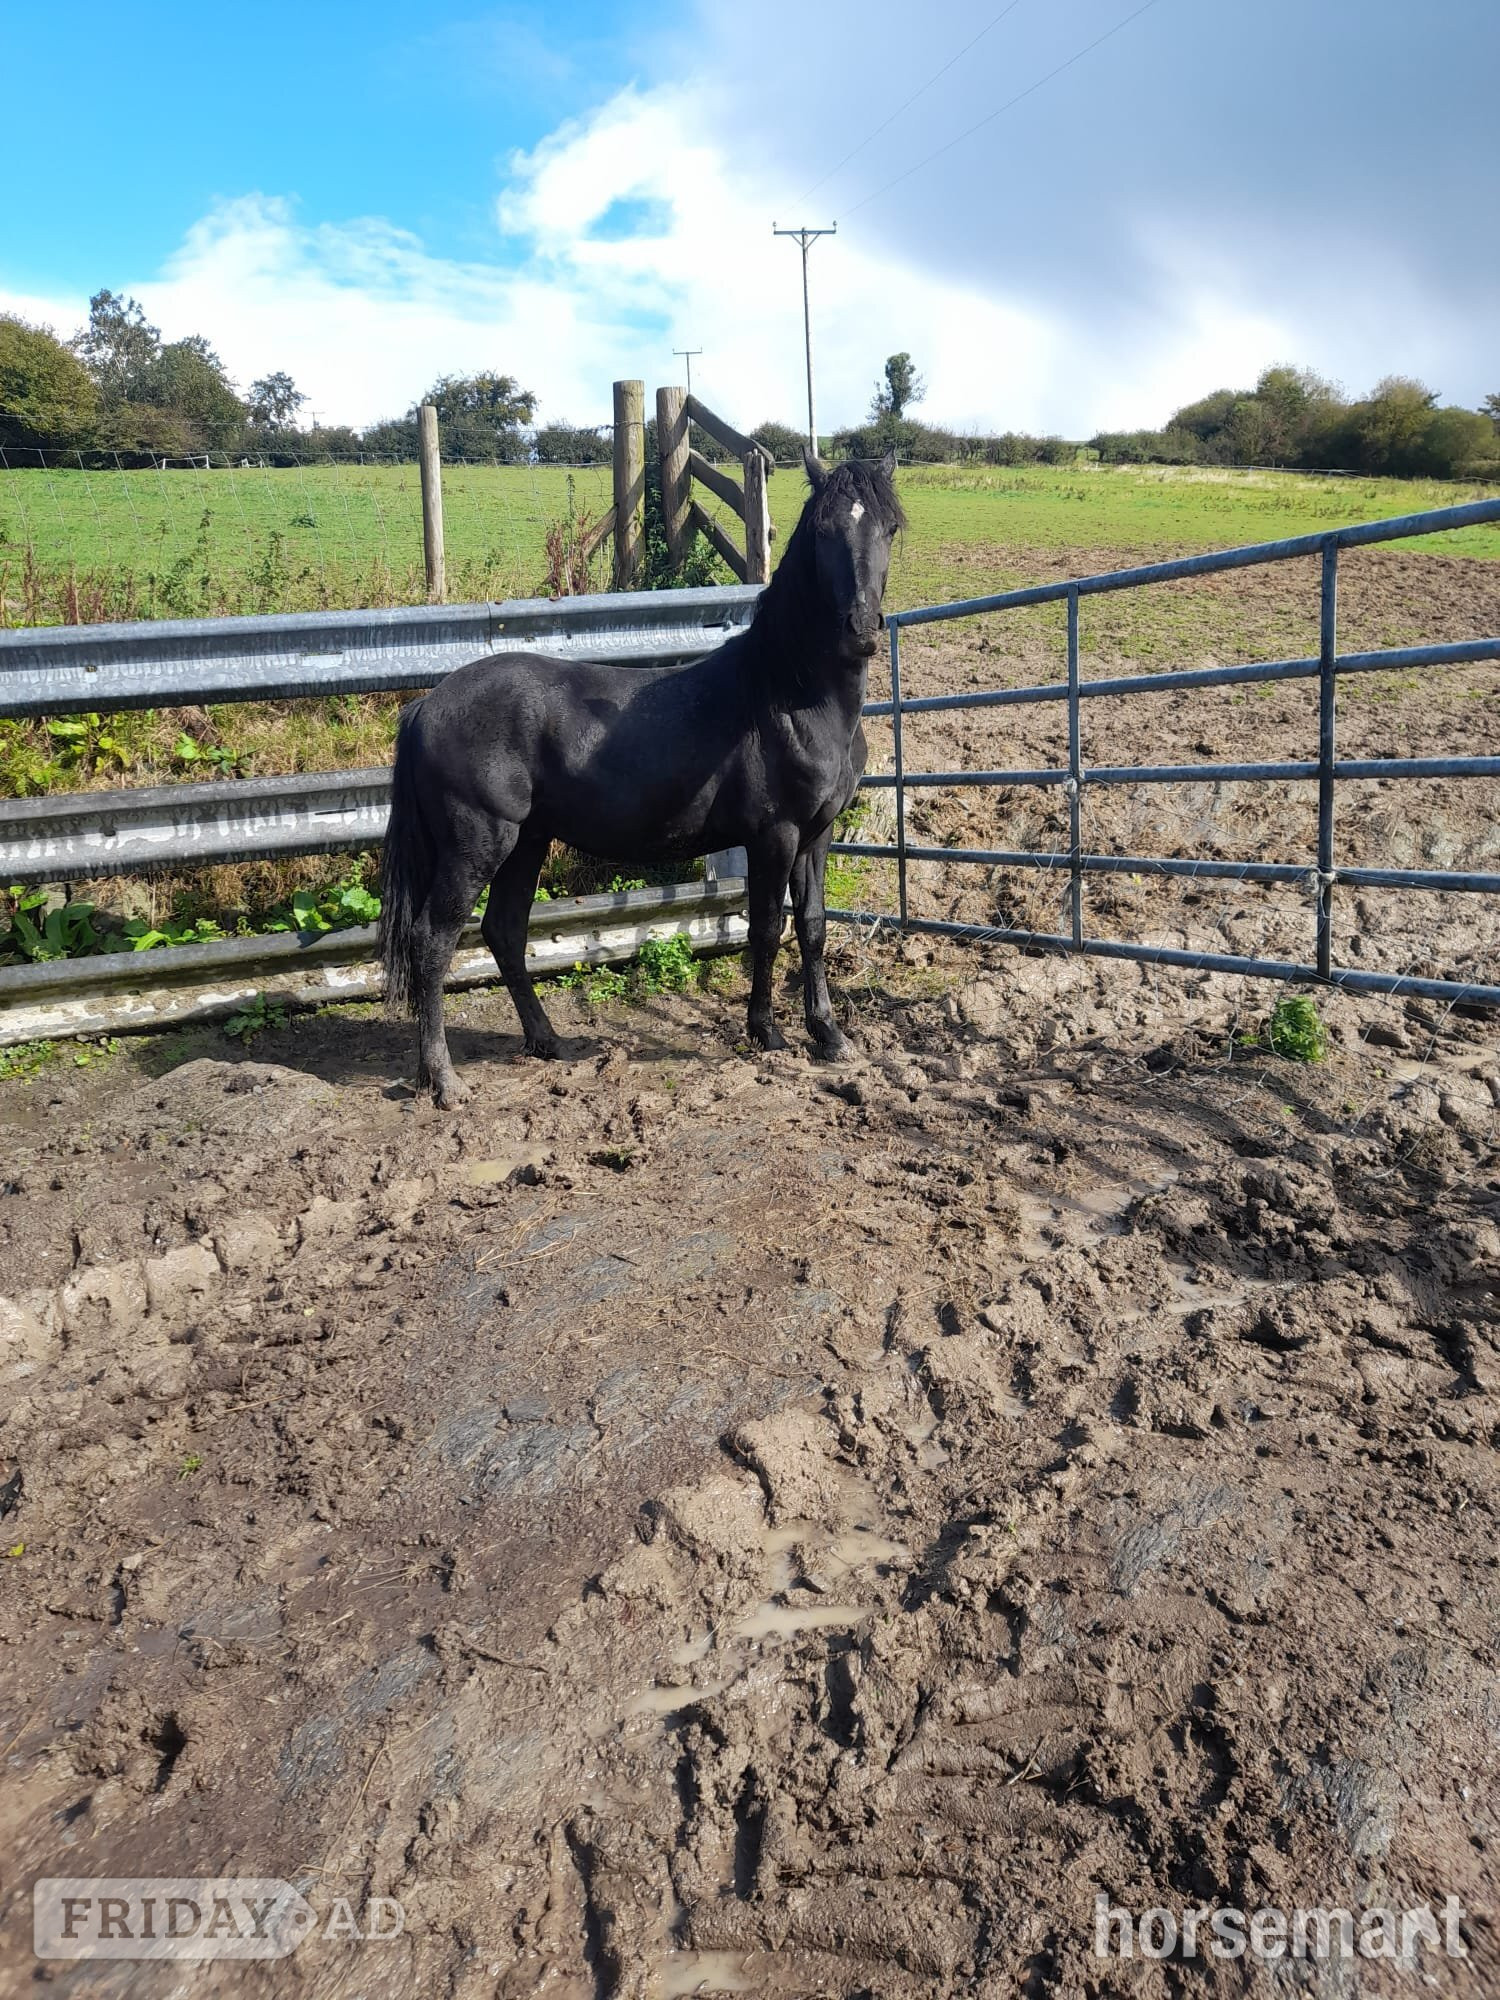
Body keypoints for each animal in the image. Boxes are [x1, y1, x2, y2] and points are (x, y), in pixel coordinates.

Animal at [377, 449, 904, 1107]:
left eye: (890, 528)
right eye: (825, 530)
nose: (862, 629)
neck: (790, 695)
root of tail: (427, 704)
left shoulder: (817, 834)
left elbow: (811, 928)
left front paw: (829, 1036)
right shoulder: (775, 835)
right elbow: (765, 927)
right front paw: (766, 1032)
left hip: (527, 843)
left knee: (503, 931)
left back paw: (548, 1041)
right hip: (476, 846)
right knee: (432, 941)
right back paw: (443, 1079)